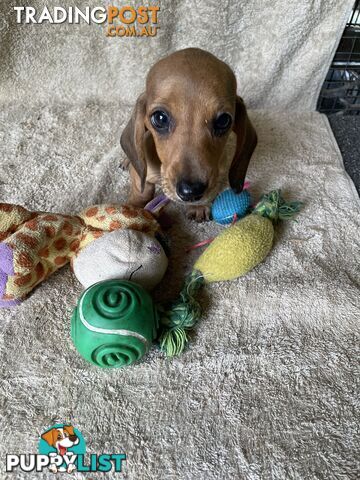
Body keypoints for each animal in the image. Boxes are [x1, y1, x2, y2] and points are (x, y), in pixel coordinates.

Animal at [121, 47, 256, 220]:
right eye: (160, 118)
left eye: (223, 120)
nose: (190, 191)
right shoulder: (143, 173)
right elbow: (142, 189)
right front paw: (133, 209)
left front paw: (199, 206)